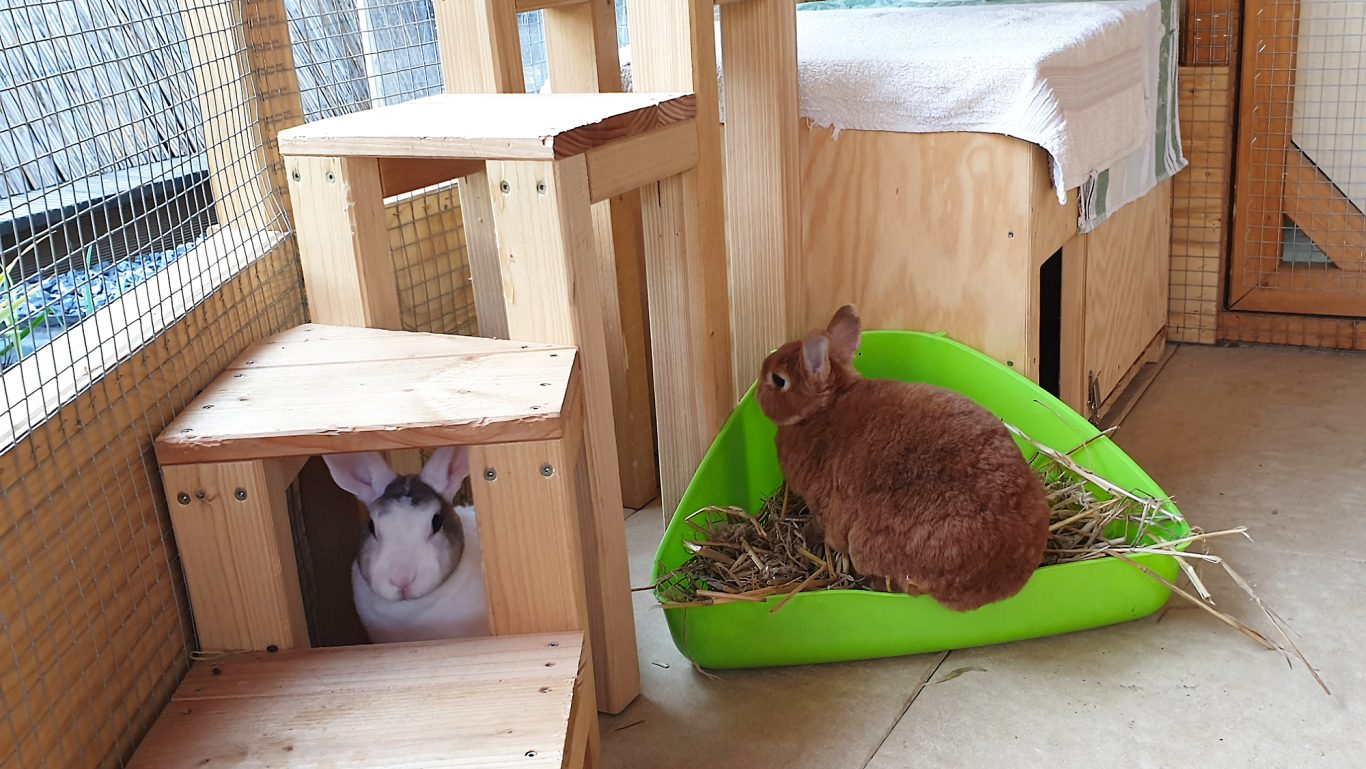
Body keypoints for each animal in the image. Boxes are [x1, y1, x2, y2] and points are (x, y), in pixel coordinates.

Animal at [755, 304, 1051, 612]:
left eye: (778, 380)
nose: (756, 392)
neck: (821, 409)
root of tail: (1006, 577)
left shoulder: (822, 507)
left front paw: (807, 537)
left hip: (870, 544)